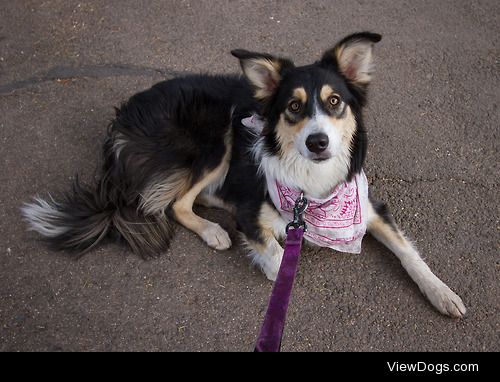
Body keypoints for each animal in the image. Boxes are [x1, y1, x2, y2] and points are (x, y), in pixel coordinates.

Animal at [21, 32, 466, 318]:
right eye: (293, 106)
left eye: (334, 101)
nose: (318, 142)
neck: (311, 185)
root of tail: (124, 118)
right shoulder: (253, 212)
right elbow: (275, 255)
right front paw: (273, 262)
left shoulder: (369, 205)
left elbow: (409, 253)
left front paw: (442, 293)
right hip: (218, 136)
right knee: (175, 203)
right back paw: (214, 231)